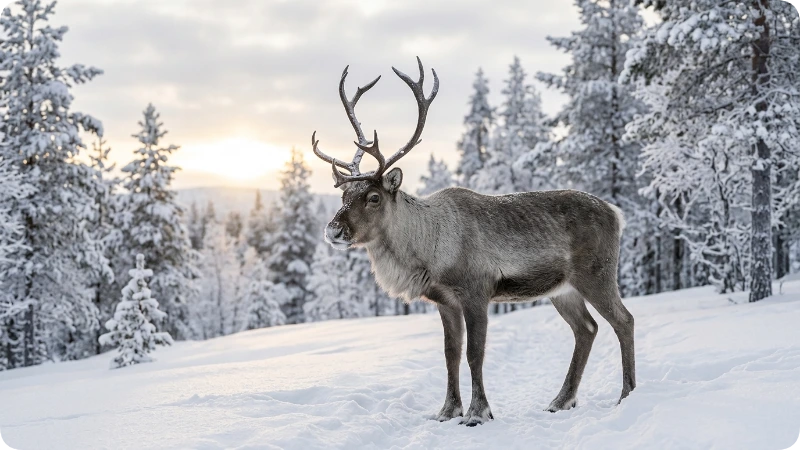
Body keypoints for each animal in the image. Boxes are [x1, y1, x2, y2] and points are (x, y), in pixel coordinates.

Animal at [312, 57, 635, 426]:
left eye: (374, 197)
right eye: (345, 194)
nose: (333, 230)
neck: (429, 250)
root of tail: (616, 213)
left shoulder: (476, 291)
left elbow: (474, 353)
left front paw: (478, 413)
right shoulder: (444, 301)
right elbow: (450, 354)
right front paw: (446, 410)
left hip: (596, 274)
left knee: (623, 320)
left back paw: (626, 394)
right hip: (562, 289)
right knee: (587, 329)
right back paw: (561, 400)